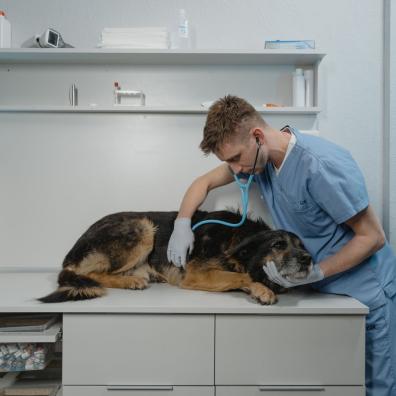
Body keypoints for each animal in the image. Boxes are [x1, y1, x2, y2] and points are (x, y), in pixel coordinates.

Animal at [38, 210, 312, 306]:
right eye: (278, 244)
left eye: (302, 245)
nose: (308, 259)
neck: (236, 237)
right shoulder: (197, 274)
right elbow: (242, 275)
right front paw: (263, 288)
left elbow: (240, 277)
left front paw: (260, 288)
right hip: (143, 226)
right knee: (90, 274)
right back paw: (130, 281)